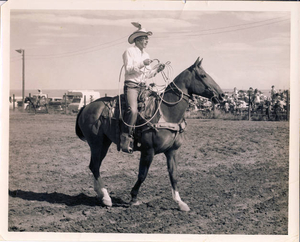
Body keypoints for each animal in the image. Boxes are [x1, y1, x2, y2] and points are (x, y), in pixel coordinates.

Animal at [76, 57, 224, 211]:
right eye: (203, 76)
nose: (222, 95)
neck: (166, 112)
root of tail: (86, 107)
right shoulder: (148, 151)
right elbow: (142, 174)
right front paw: (133, 197)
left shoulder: (172, 151)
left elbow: (173, 175)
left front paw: (180, 202)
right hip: (96, 143)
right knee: (95, 166)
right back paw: (106, 198)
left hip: (105, 142)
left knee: (95, 165)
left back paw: (100, 194)